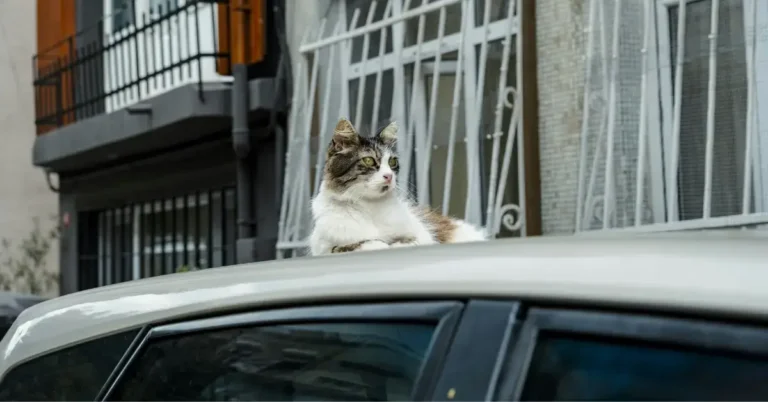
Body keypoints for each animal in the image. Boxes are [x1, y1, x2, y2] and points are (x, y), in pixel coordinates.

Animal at [306, 116, 486, 256]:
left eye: (392, 162)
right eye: (368, 160)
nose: (389, 176)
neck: (369, 207)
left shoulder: (422, 235)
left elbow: (407, 242)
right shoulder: (323, 246)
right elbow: (355, 245)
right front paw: (378, 244)